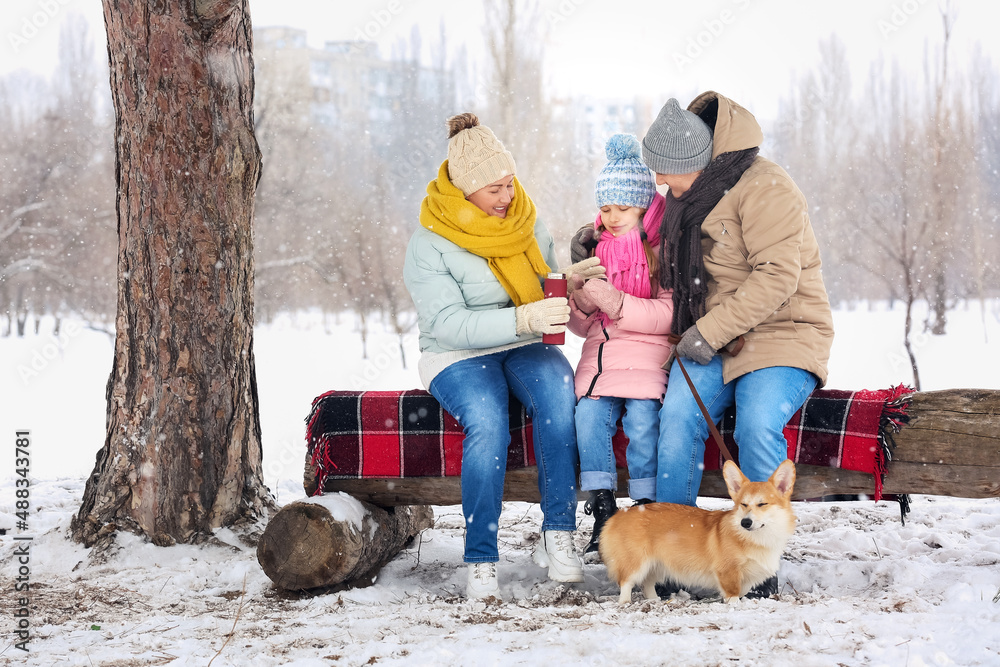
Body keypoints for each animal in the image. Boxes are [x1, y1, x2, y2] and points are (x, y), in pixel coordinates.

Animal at [596, 460, 800, 604]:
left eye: (762, 504)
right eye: (743, 504)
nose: (746, 522)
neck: (756, 538)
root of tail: (617, 515)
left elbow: (742, 590)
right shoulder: (728, 571)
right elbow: (733, 593)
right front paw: (733, 605)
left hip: (656, 564)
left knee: (647, 583)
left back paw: (654, 599)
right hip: (637, 562)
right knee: (626, 582)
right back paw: (625, 602)